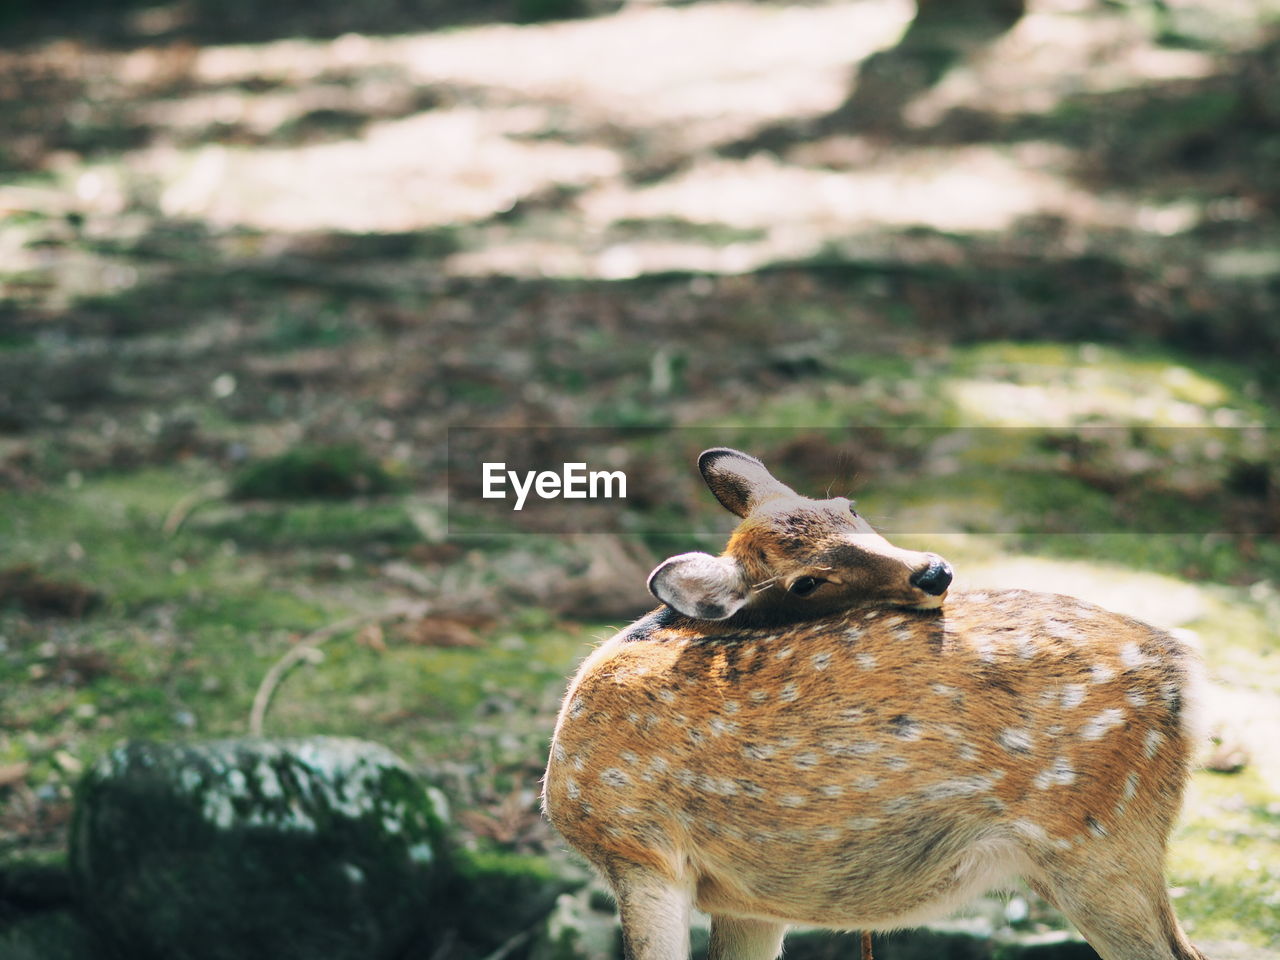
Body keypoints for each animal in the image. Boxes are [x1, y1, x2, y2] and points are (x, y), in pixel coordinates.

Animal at [545, 448, 1203, 960]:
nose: (933, 572)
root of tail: (1183, 670)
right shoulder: (732, 889)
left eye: (850, 506)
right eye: (805, 582)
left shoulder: (637, 846)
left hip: (1094, 837)